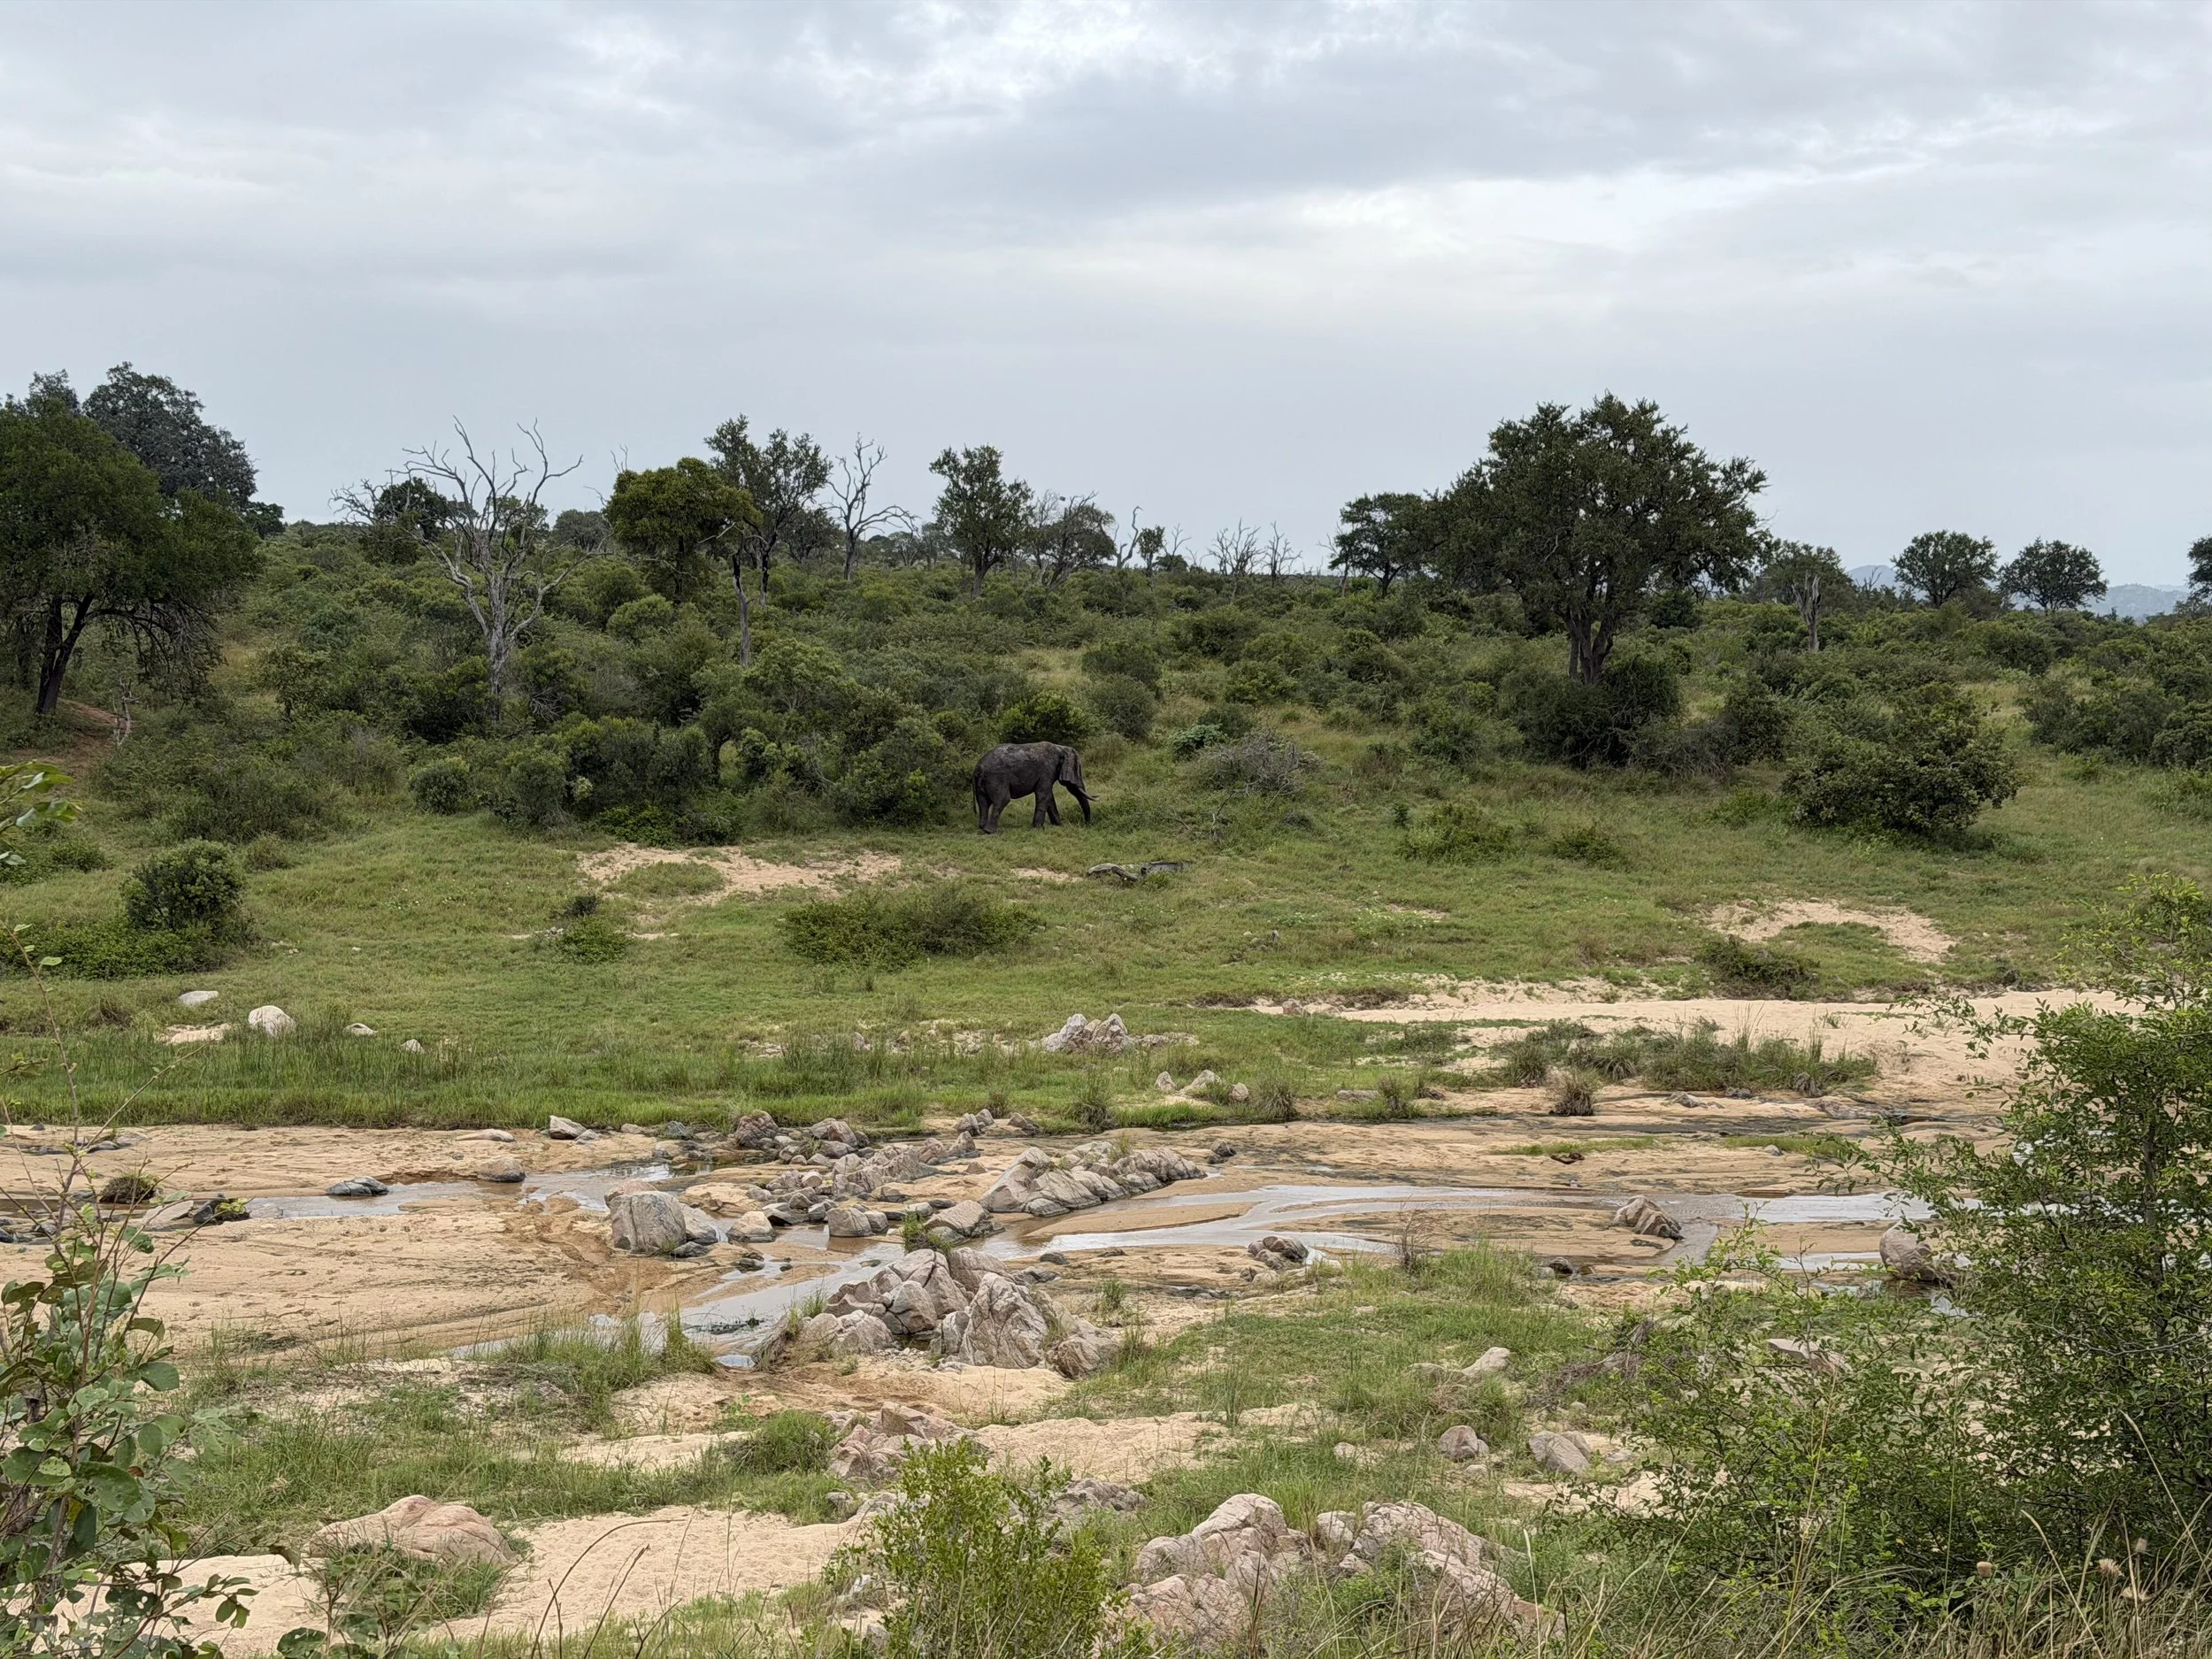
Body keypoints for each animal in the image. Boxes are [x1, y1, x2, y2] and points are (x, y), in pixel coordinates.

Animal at [972, 742, 1093, 834]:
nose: (1086, 825)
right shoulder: (1047, 771)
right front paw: (1038, 828)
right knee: (1003, 800)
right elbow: (1043, 794)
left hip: (983, 784)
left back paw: (982, 828)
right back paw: (990, 831)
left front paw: (1058, 825)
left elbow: (1049, 796)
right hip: (996, 778)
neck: (1060, 748)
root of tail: (979, 768)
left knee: (983, 802)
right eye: (1077, 771)